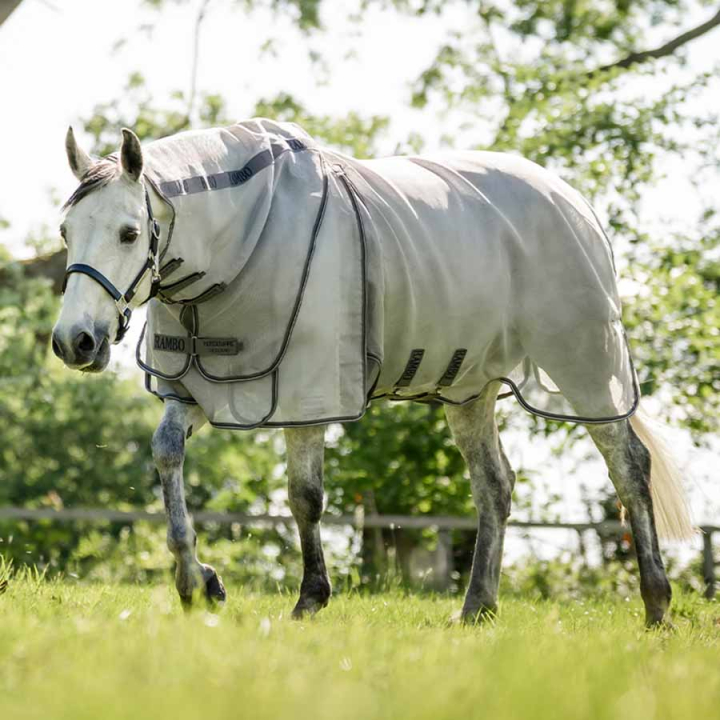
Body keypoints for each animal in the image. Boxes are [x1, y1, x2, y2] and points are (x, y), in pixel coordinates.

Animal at [51, 119, 693, 625]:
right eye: (66, 231)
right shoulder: (196, 390)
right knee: (494, 485)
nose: (73, 342)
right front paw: (197, 582)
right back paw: (476, 608)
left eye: (129, 233)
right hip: (471, 389)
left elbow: (305, 497)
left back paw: (656, 604)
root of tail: (574, 203)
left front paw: (310, 599)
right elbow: (166, 455)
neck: (240, 244)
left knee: (628, 467)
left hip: (585, 366)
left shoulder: (306, 396)